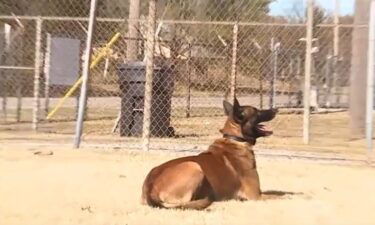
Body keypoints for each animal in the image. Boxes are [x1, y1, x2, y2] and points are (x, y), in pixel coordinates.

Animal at [142, 97, 278, 210]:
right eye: (257, 112)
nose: (276, 109)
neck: (235, 139)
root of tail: (150, 188)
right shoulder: (255, 195)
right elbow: (279, 197)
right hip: (194, 166)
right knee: (184, 203)